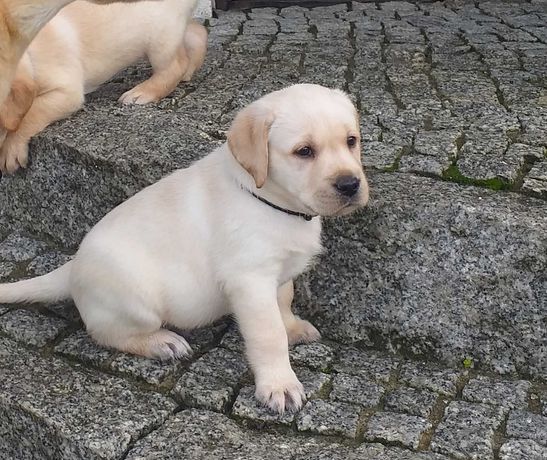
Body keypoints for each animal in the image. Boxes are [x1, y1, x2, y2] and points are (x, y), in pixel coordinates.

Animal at [0, 0, 208, 172]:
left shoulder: (66, 90)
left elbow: (32, 112)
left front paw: (11, 149)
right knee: (198, 32)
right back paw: (190, 70)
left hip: (160, 37)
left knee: (174, 65)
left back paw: (141, 93)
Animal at [0, 84, 370, 416]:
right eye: (304, 151)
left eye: (351, 141)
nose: (350, 184)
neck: (270, 200)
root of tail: (73, 265)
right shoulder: (250, 280)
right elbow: (268, 333)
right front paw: (279, 384)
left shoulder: (277, 273)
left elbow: (284, 302)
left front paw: (293, 328)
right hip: (138, 300)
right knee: (103, 332)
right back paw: (162, 343)